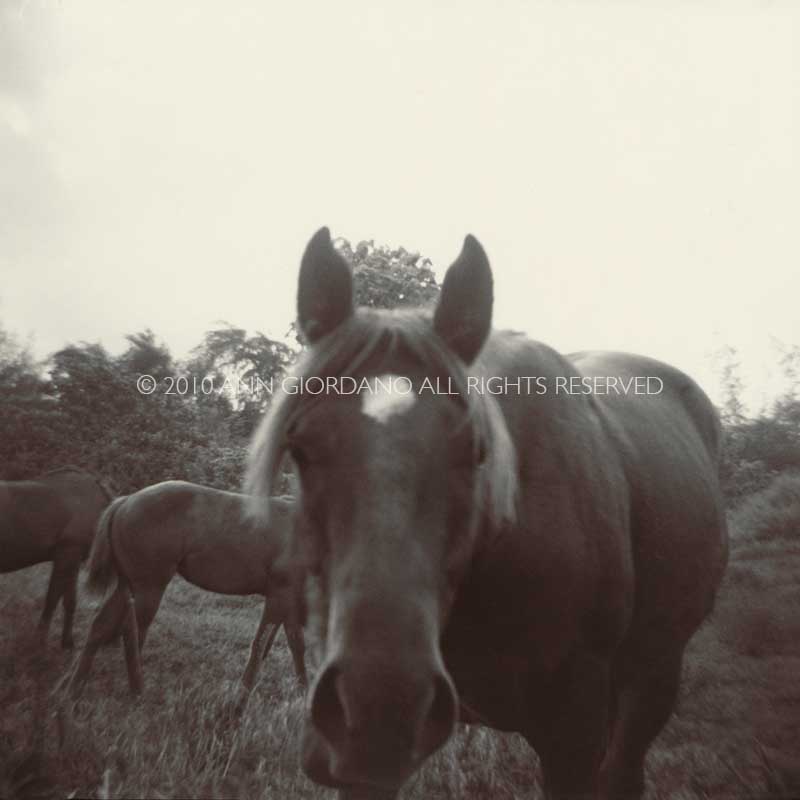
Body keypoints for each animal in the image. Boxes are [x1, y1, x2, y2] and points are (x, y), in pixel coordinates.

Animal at [0, 466, 113, 648]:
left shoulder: (72, 560)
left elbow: (70, 601)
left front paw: (67, 641)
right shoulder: (67, 555)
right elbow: (52, 599)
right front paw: (39, 641)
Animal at [67, 478, 306, 696]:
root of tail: (125, 501)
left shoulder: (289, 600)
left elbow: (296, 644)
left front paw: (303, 692)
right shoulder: (279, 595)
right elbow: (260, 646)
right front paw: (241, 696)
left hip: (128, 585)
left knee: (100, 625)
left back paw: (76, 687)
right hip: (149, 588)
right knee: (131, 634)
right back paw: (136, 690)